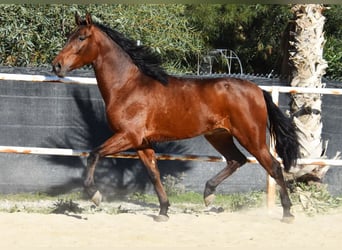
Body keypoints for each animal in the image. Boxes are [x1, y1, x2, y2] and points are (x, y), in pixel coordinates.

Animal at [51, 12, 300, 222]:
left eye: (81, 37)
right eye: (69, 36)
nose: (57, 65)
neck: (128, 87)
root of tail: (258, 90)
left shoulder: (128, 136)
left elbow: (94, 154)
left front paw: (95, 195)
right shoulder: (141, 143)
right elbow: (153, 173)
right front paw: (163, 210)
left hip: (251, 137)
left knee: (274, 166)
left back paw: (288, 213)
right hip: (219, 135)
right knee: (236, 160)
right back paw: (208, 194)